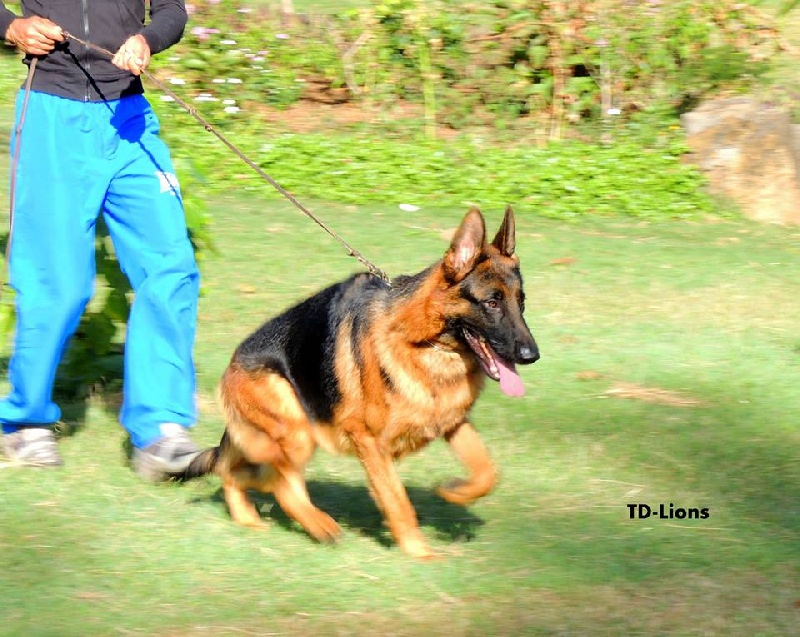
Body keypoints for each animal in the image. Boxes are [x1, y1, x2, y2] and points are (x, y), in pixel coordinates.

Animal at [184, 207, 540, 556]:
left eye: (521, 302)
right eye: (491, 302)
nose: (532, 355)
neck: (425, 344)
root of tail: (232, 365)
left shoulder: (451, 422)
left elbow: (487, 472)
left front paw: (454, 493)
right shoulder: (370, 442)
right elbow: (397, 500)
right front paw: (420, 553)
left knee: (244, 474)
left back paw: (254, 518)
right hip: (296, 429)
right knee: (267, 478)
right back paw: (318, 524)